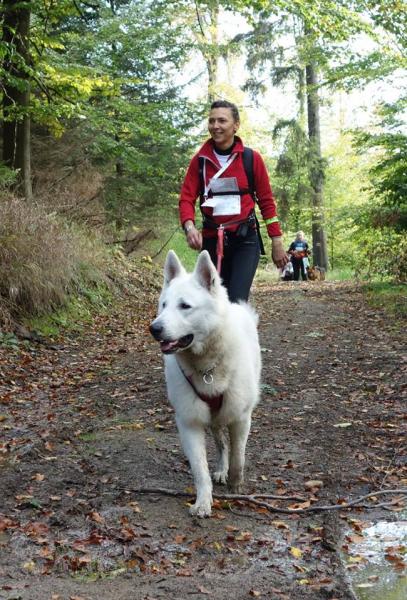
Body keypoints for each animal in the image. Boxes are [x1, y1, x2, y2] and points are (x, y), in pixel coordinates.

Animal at [150, 251, 262, 516]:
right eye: (163, 305)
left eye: (185, 306)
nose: (154, 328)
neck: (206, 366)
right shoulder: (189, 422)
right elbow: (200, 470)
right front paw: (203, 501)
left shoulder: (241, 417)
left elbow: (238, 456)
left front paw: (235, 485)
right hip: (213, 420)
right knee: (221, 445)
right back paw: (220, 470)